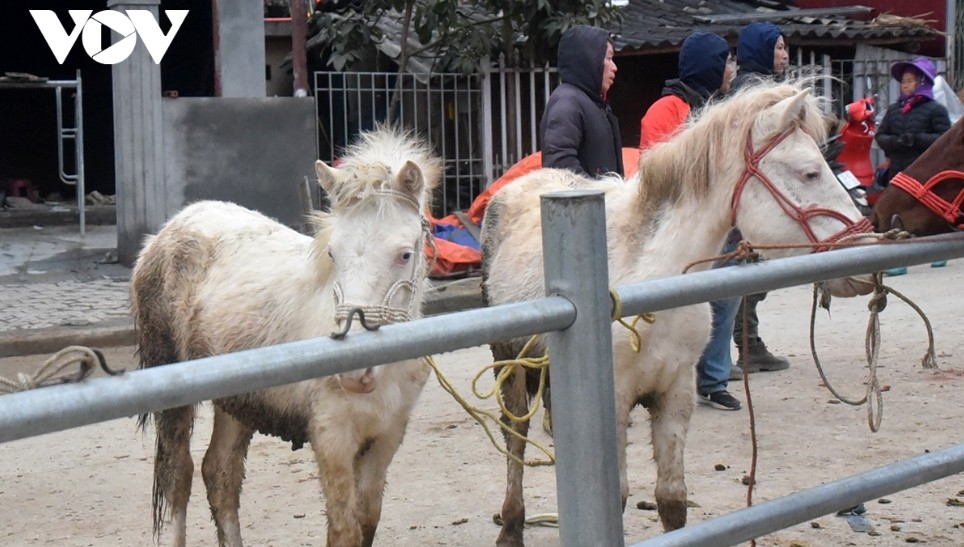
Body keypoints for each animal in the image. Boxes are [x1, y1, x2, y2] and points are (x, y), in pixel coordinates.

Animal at [131, 125, 442, 547]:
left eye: (405, 254)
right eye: (332, 252)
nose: (353, 374)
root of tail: (167, 231)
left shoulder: (388, 434)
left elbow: (367, 521)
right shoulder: (331, 437)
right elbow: (344, 530)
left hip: (238, 401)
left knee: (220, 472)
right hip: (171, 389)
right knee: (176, 475)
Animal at [480, 80, 875, 546]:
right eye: (809, 172)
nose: (866, 262)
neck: (652, 279)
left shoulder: (675, 393)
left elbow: (671, 500)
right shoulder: (614, 401)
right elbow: (616, 496)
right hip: (509, 362)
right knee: (515, 438)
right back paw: (511, 527)